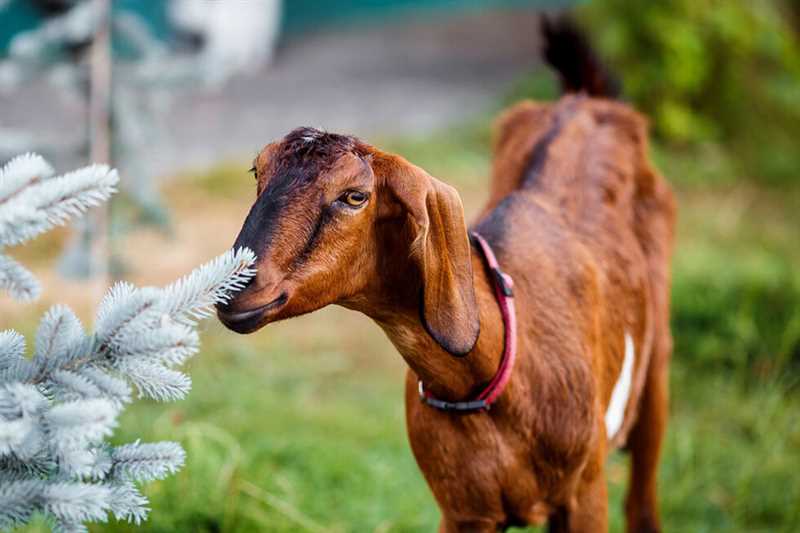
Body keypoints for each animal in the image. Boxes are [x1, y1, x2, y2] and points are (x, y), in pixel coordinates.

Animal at [216, 19, 672, 532]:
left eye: (355, 196)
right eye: (258, 171)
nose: (235, 288)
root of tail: (584, 98)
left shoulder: (585, 491)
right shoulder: (463, 510)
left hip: (656, 362)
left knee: (643, 498)